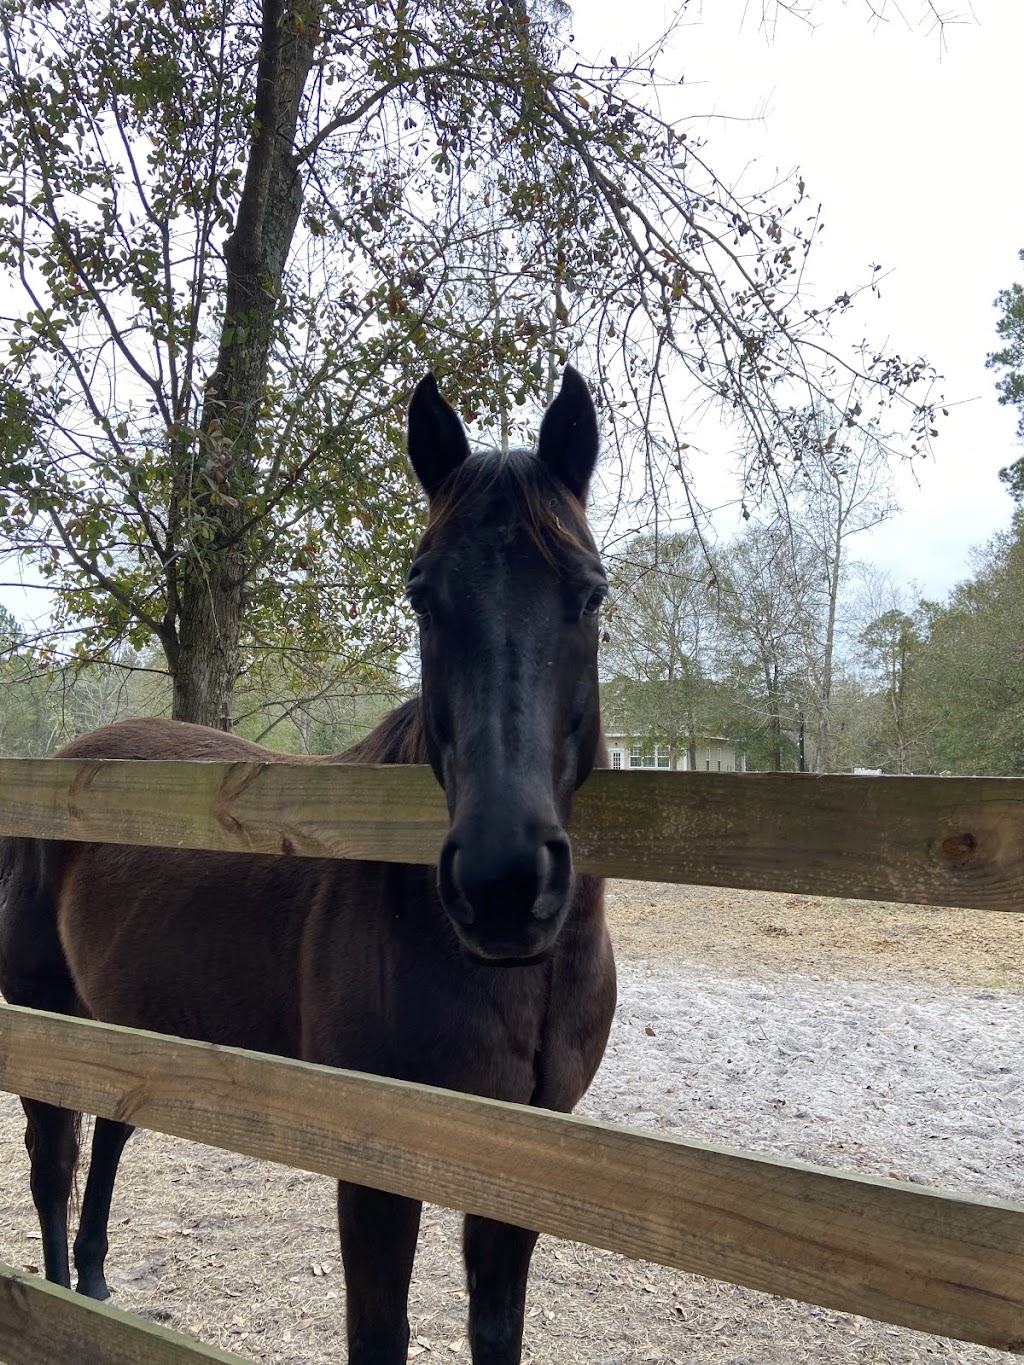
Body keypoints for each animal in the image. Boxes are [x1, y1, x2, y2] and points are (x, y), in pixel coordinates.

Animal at [0, 368, 617, 1365]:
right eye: (420, 594)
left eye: (591, 594)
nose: (503, 883)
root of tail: (64, 765)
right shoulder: (374, 1167)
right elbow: (379, 1336)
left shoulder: (519, 1166)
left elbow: (497, 1332)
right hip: (48, 1019)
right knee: (54, 1169)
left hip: (129, 1022)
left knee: (112, 1137)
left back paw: (96, 1292)